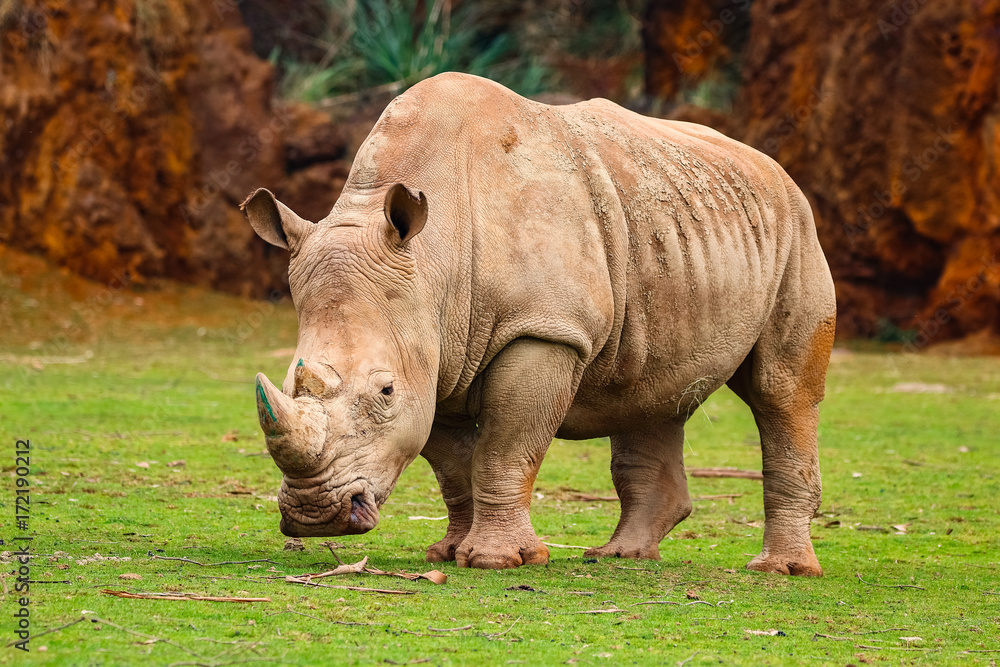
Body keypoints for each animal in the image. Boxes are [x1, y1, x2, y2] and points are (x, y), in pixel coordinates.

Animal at [243, 72, 836, 574]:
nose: (316, 516)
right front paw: (449, 552)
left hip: (797, 227)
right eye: (290, 381)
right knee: (652, 388)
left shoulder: (544, 328)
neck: (432, 263)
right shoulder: (438, 355)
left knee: (781, 392)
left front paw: (496, 561)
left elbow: (505, 449)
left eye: (385, 391)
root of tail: (770, 166)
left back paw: (779, 570)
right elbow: (453, 466)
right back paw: (621, 557)